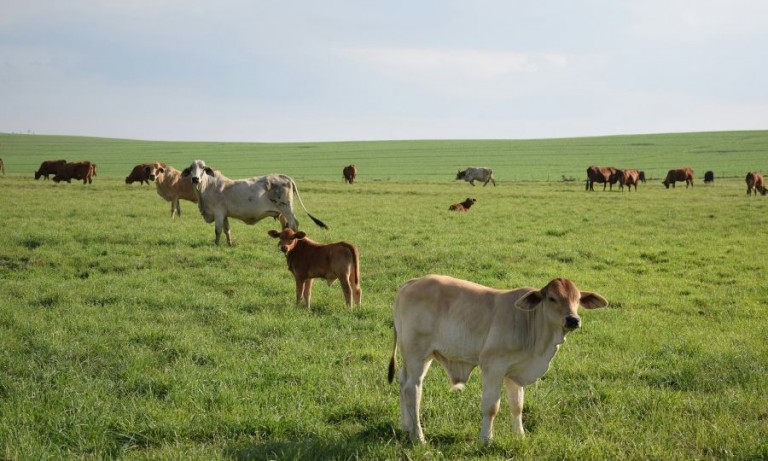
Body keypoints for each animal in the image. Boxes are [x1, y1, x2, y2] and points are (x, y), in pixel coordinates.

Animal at [182, 160, 328, 245]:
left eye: (203, 168)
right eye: (191, 168)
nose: (195, 179)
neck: (207, 187)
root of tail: (284, 176)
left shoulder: (218, 213)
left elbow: (217, 230)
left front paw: (216, 244)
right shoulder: (224, 214)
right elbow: (227, 230)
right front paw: (229, 243)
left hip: (286, 208)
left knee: (293, 224)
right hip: (282, 212)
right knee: (285, 226)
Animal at [388, 275, 608, 444]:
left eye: (577, 299)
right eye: (552, 298)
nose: (573, 319)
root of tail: (412, 282)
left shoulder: (514, 371)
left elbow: (517, 406)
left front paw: (520, 436)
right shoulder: (493, 366)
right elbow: (491, 407)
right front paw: (486, 439)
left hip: (416, 356)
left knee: (403, 384)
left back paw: (405, 427)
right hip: (418, 354)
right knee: (413, 390)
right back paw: (419, 437)